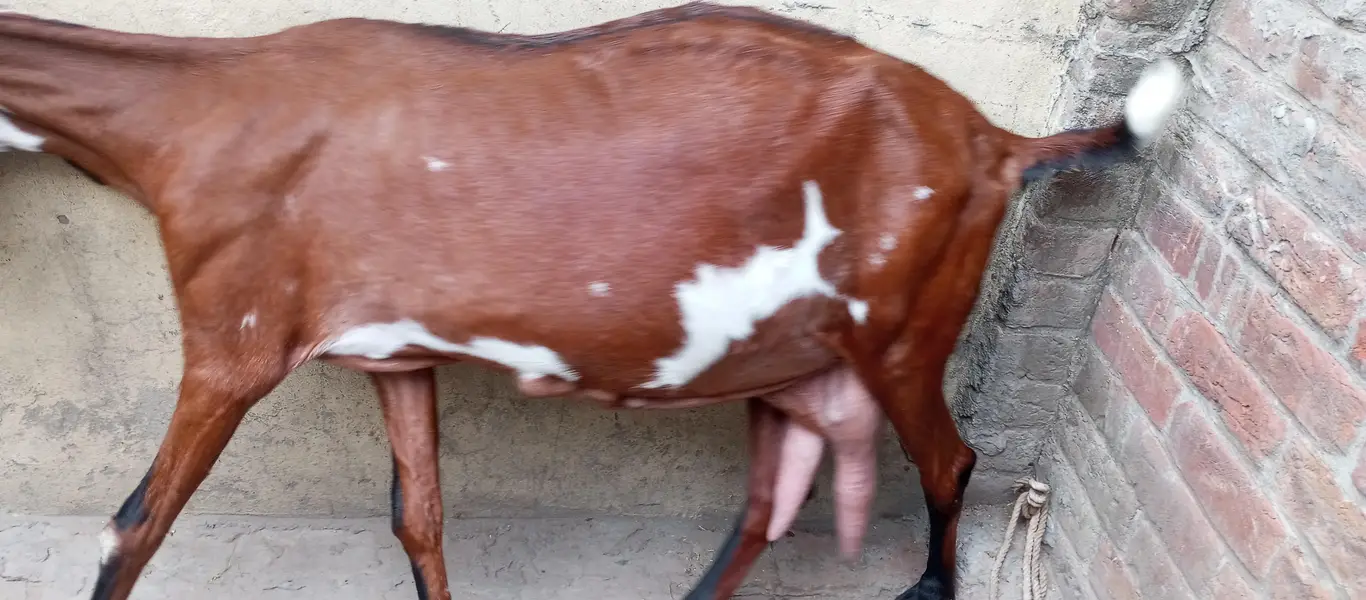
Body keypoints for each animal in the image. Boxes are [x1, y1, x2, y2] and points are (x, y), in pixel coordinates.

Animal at [0, 3, 1184, 599]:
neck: (189, 115)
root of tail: (996, 142)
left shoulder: (233, 338)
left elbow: (132, 529)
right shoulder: (398, 356)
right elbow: (418, 519)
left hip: (901, 332)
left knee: (952, 462)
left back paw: (929, 589)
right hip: (794, 357)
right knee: (768, 504)